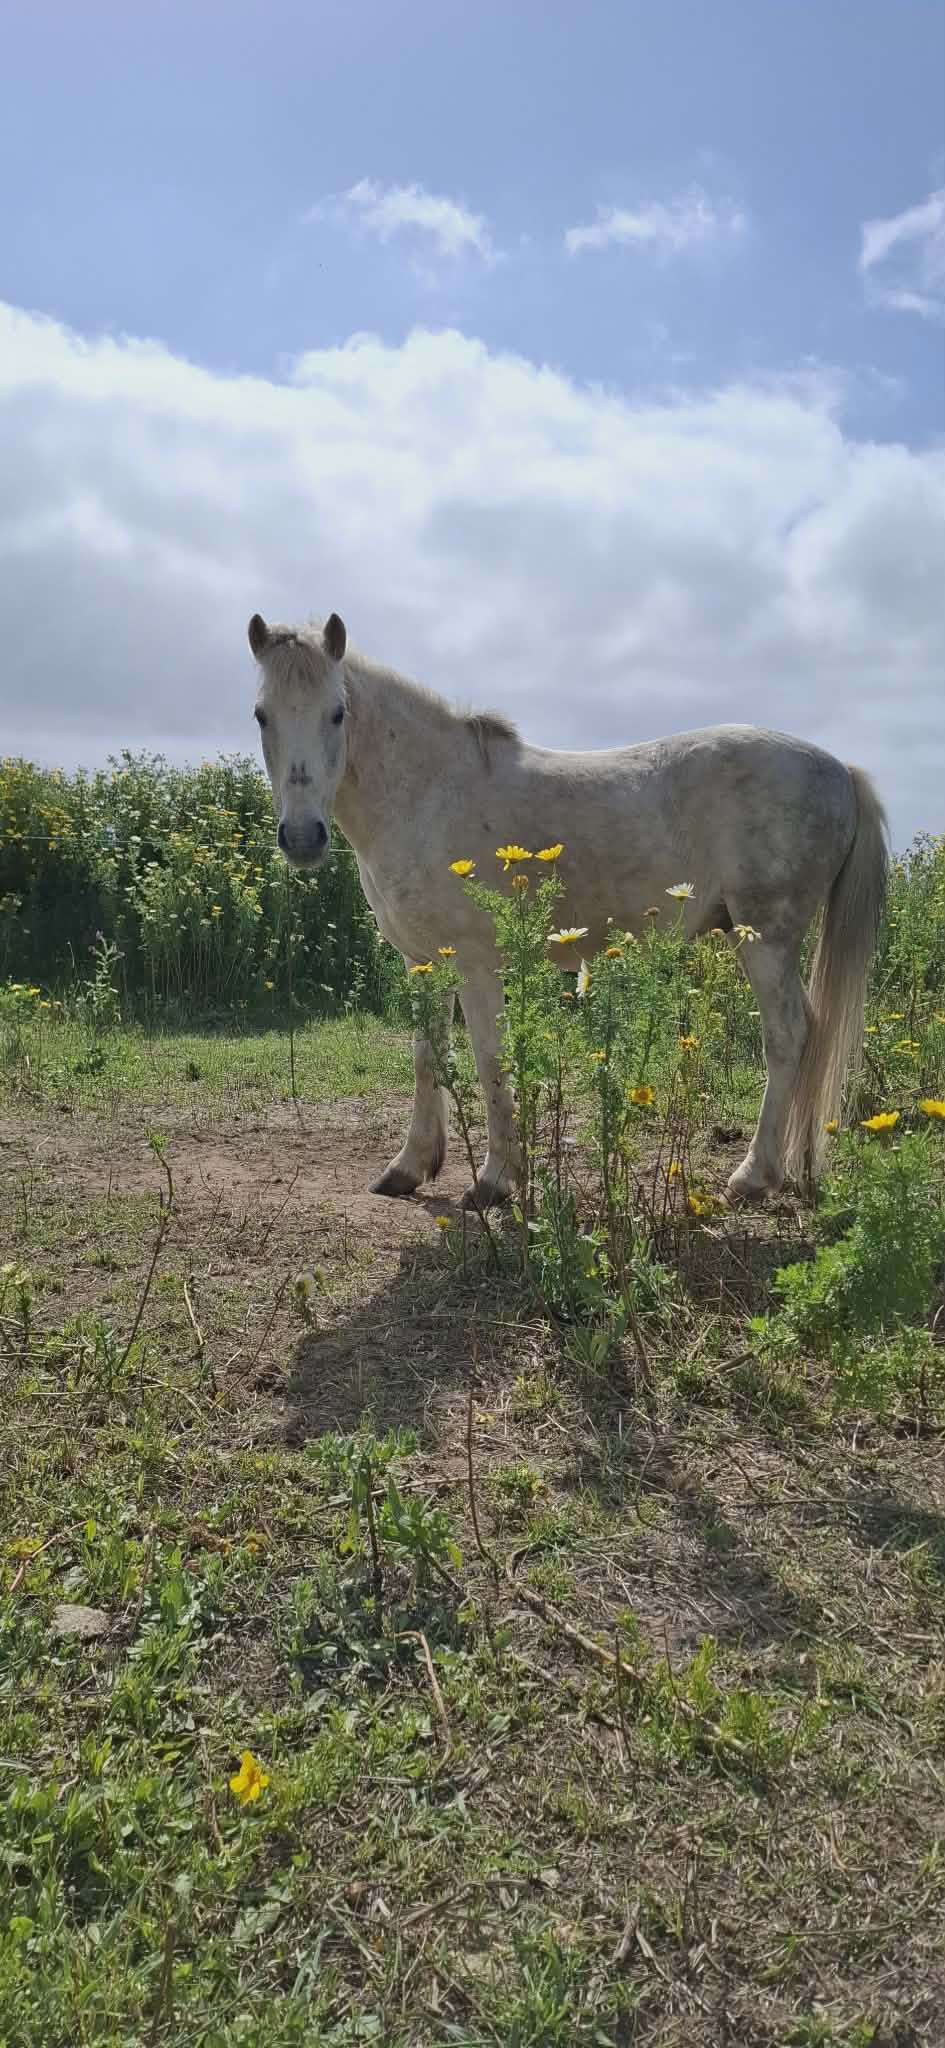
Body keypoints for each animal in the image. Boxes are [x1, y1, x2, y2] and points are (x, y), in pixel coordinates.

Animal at [247, 609, 888, 1209]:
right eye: (261, 715)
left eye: (337, 712)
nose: (302, 838)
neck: (427, 792)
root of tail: (840, 770)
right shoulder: (422, 961)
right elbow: (428, 1058)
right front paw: (409, 1168)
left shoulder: (476, 963)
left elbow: (490, 1060)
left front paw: (496, 1181)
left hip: (766, 937)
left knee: (788, 1036)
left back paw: (753, 1177)